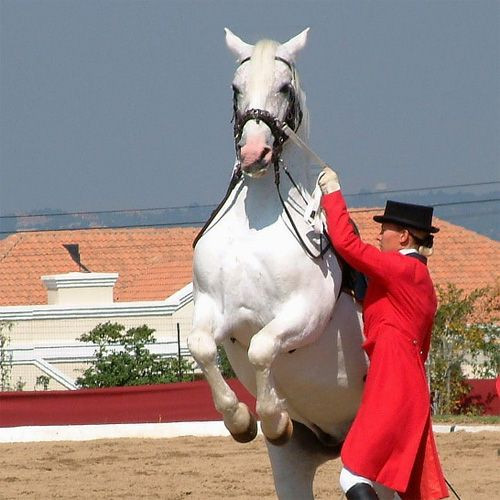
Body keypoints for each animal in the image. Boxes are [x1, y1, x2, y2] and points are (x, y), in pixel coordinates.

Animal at [188, 29, 368, 498]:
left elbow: (263, 347)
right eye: (235, 88)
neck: (257, 222)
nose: (254, 153)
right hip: (295, 466)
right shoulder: (214, 308)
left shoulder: (303, 314)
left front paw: (274, 419)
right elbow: (202, 346)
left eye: (284, 87)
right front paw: (240, 421)